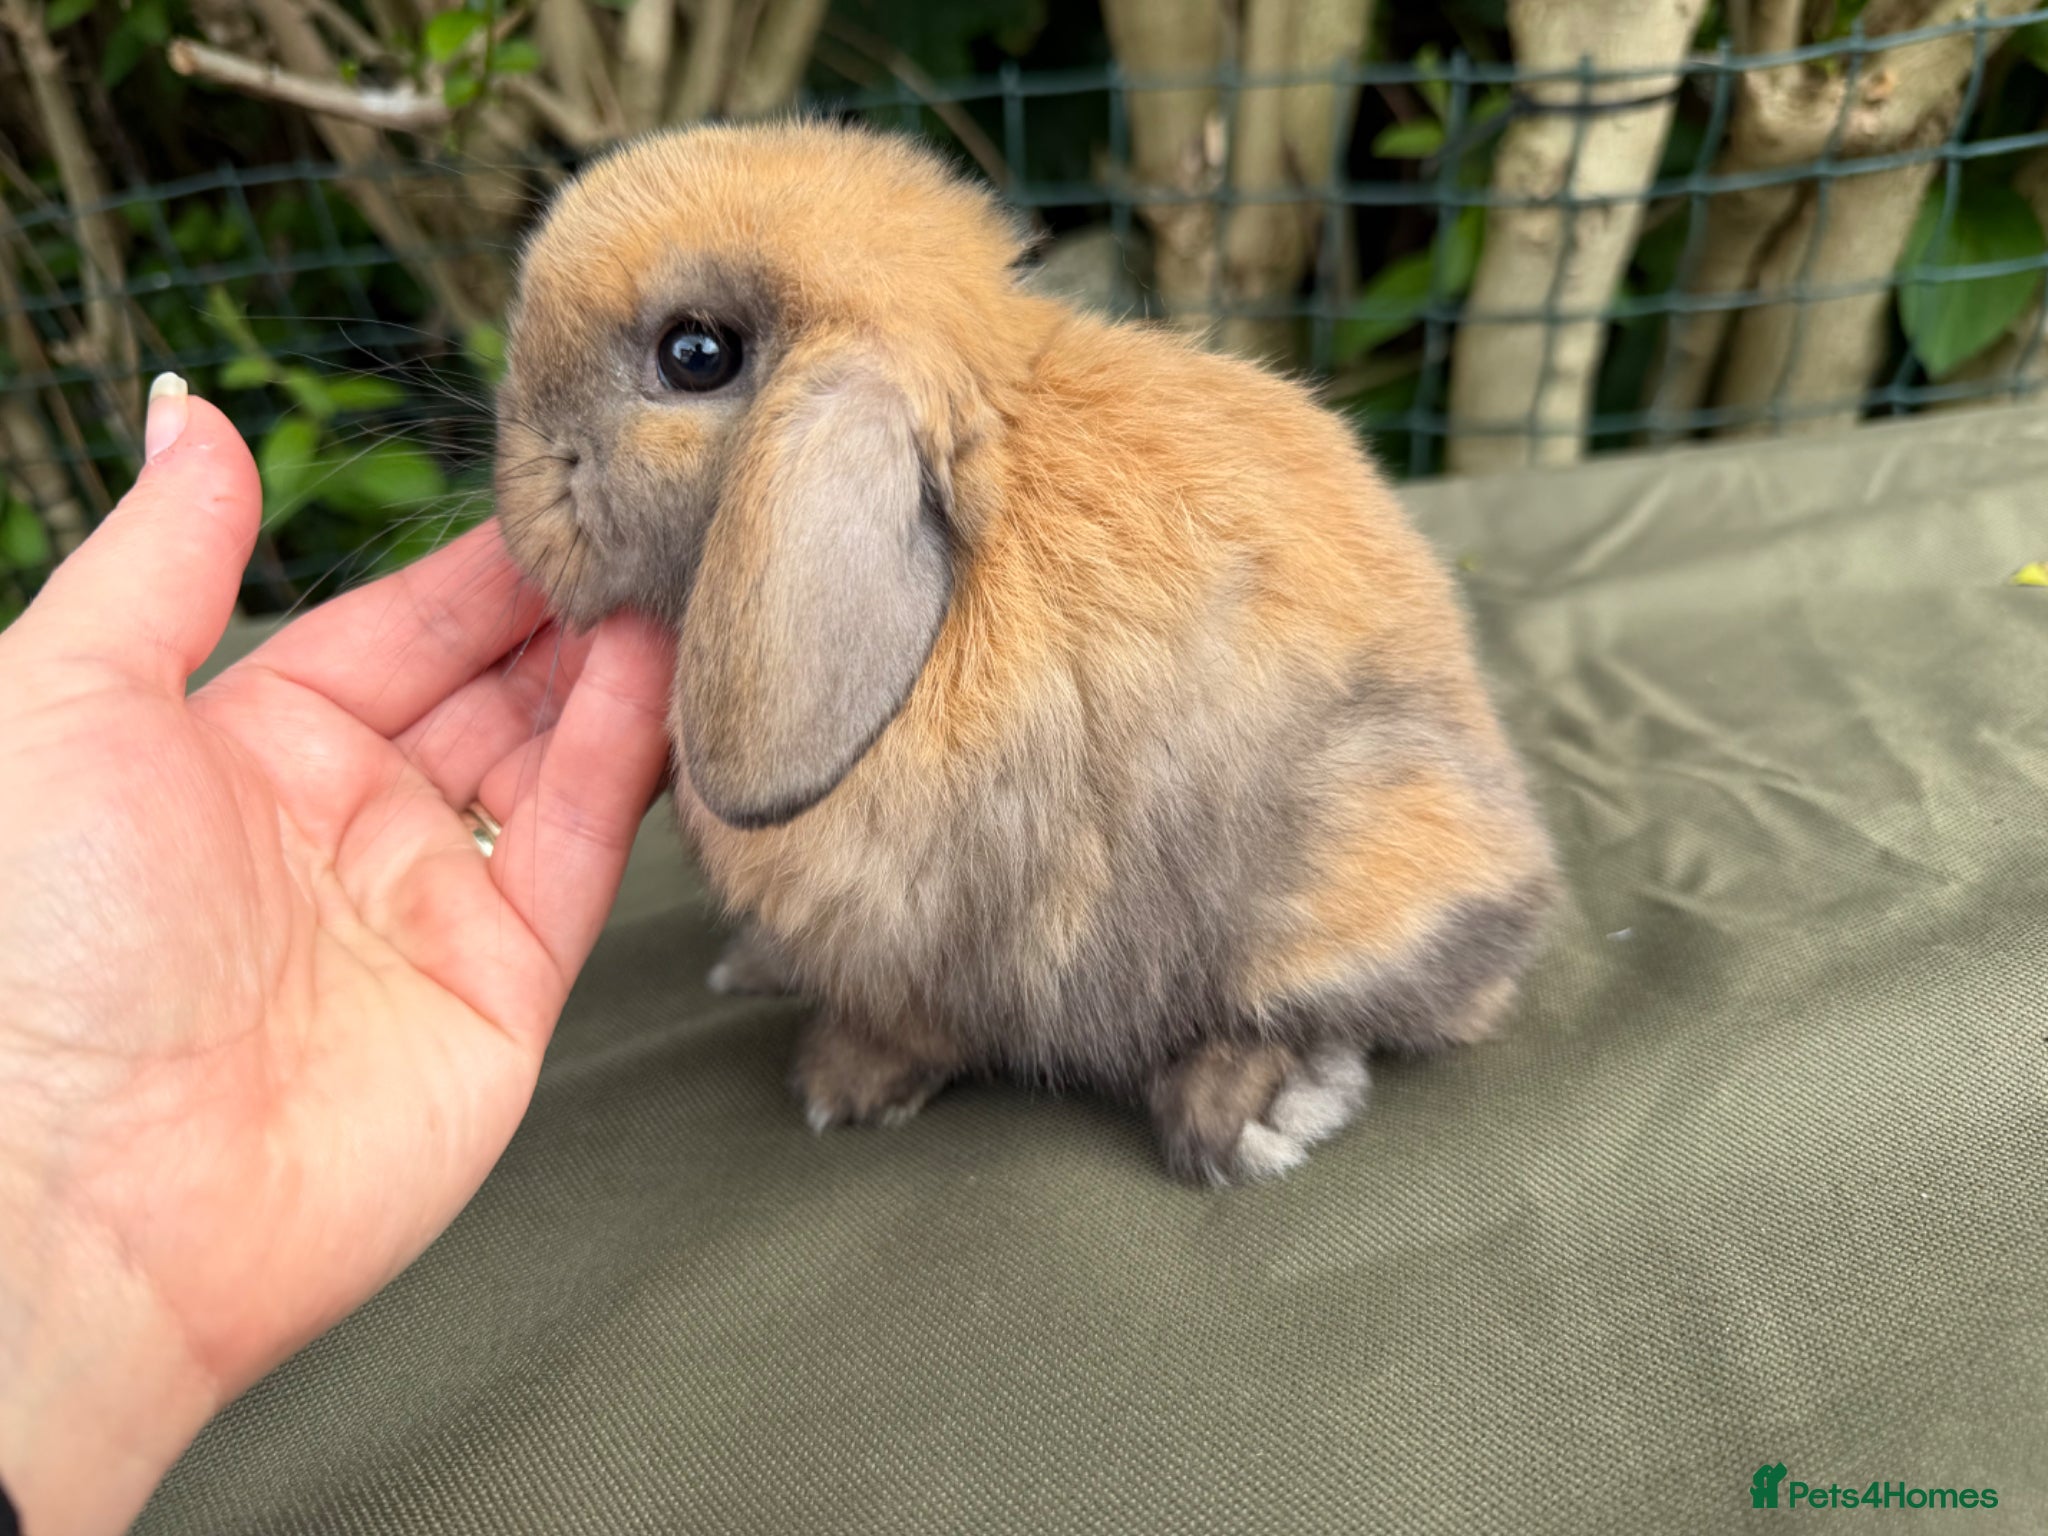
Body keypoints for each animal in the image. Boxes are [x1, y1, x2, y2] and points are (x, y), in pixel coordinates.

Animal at [493, 120, 1558, 1184]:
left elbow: (920, 1022)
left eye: (696, 354)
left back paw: (1239, 1111)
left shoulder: (925, 938)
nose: (518, 496)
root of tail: (1519, 866)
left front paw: (839, 1088)